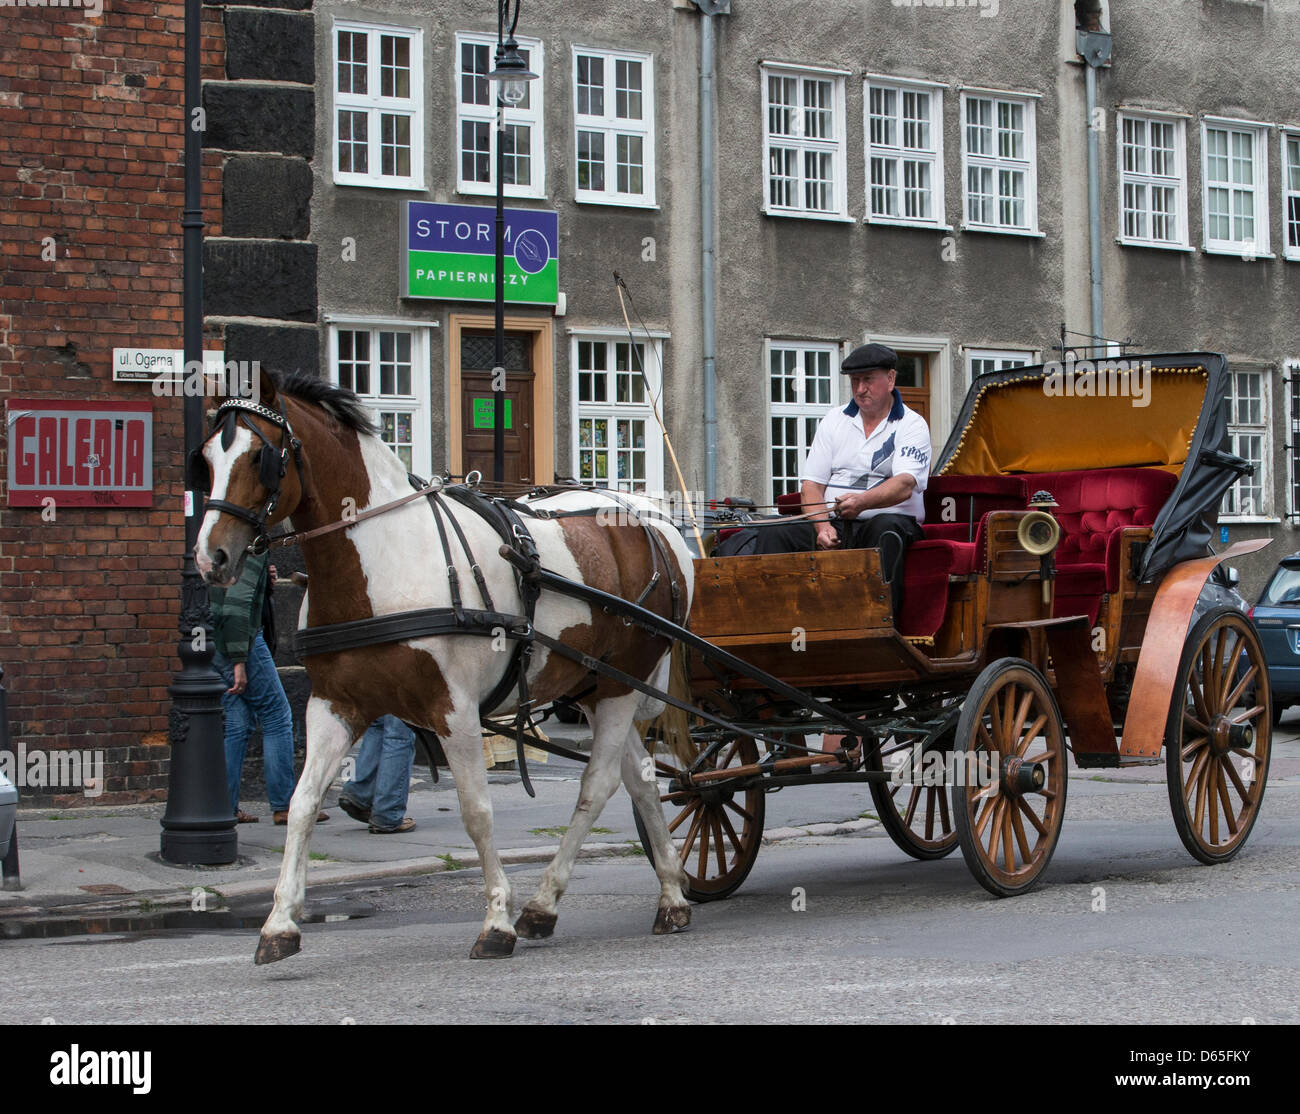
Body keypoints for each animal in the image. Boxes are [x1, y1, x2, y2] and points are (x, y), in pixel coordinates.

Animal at [191, 369, 696, 961]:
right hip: (594, 685)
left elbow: (476, 812)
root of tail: (656, 522)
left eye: (260, 458)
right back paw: (665, 894)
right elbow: (302, 802)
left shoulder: (453, 709)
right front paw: (279, 923)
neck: (382, 559)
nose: (211, 557)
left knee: (597, 788)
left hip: (619, 689)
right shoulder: (334, 705)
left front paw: (496, 919)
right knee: (641, 779)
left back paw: (544, 902)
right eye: (206, 458)